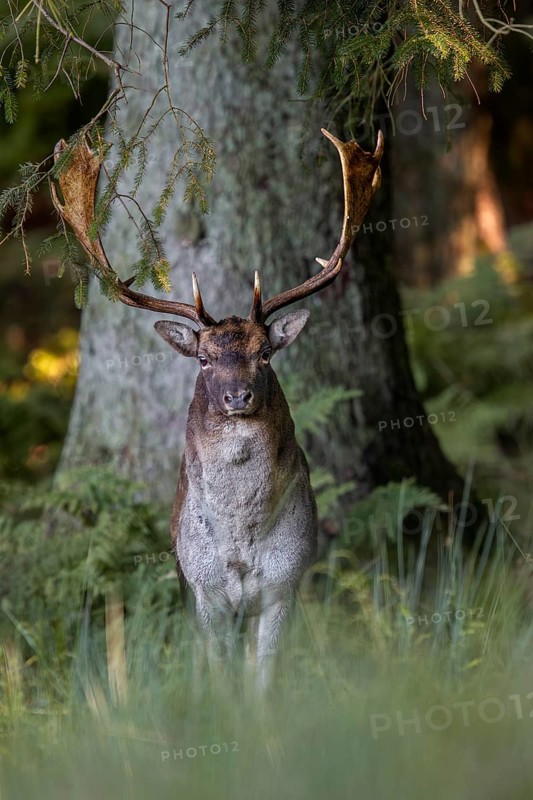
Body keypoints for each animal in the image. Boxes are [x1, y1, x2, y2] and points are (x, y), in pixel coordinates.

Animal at [50, 128, 383, 688]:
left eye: (265, 353)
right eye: (204, 358)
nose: (237, 397)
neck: (241, 545)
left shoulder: (283, 586)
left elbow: (262, 679)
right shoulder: (205, 593)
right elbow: (221, 676)